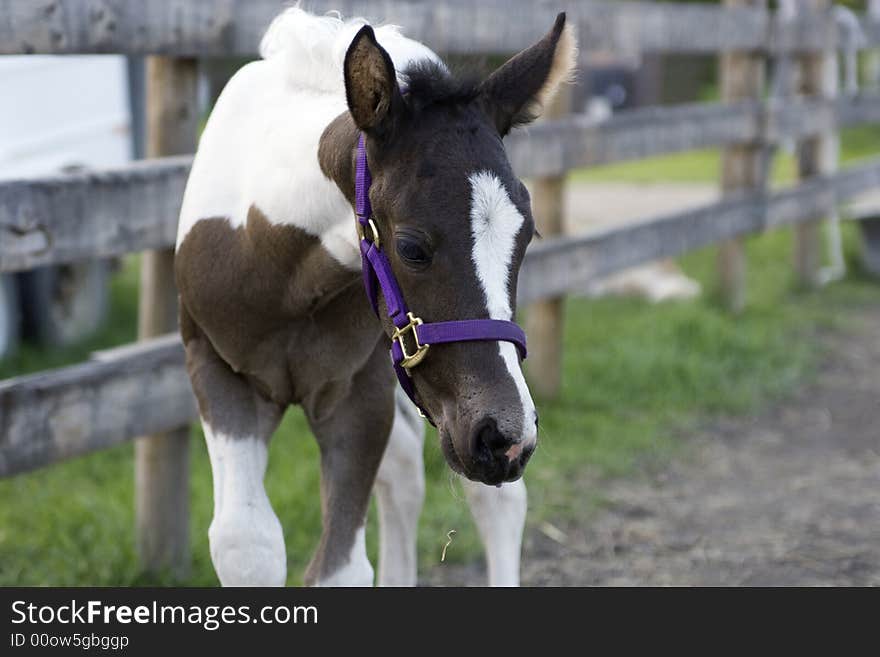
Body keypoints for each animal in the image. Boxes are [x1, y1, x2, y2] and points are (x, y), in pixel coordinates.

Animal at [176, 9, 580, 584]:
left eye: (528, 236)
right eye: (410, 246)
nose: (503, 437)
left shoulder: (360, 391)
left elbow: (340, 567)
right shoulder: (217, 368)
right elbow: (245, 543)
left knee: (496, 499)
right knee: (408, 472)